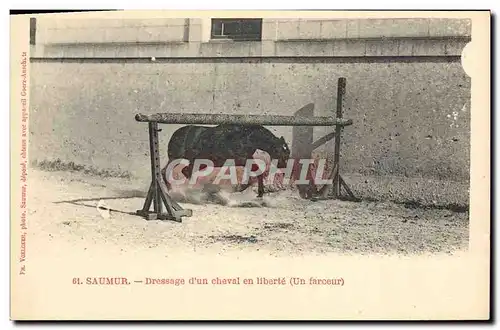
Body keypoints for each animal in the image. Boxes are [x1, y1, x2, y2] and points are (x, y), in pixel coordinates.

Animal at [162, 123, 292, 196]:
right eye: (284, 154)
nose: (284, 170)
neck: (246, 137)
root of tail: (175, 134)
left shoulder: (245, 159)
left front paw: (258, 192)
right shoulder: (241, 159)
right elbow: (256, 170)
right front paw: (244, 188)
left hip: (197, 162)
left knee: (185, 171)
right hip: (176, 158)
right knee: (167, 171)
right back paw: (174, 191)